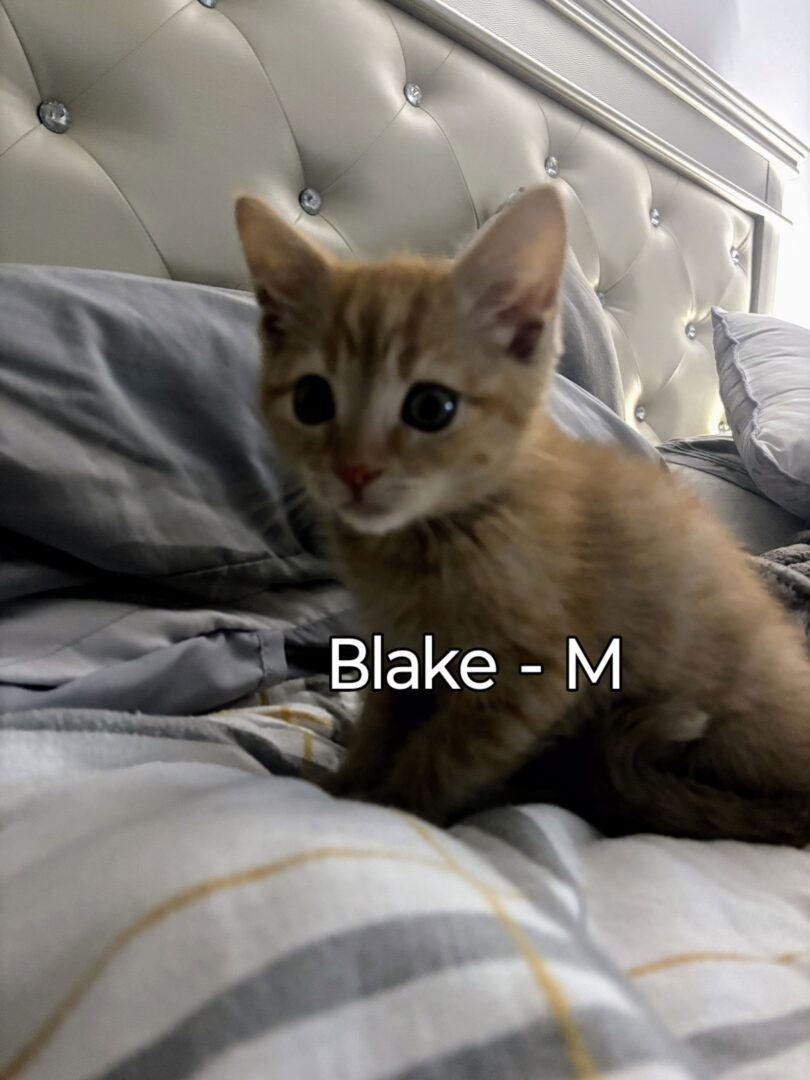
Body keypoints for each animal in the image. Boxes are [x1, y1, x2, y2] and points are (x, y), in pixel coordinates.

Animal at [235, 185, 810, 845]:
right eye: (311, 400)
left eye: (431, 407)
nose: (354, 470)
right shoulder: (399, 649)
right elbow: (381, 723)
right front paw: (345, 781)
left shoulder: (535, 675)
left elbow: (442, 754)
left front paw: (390, 805)